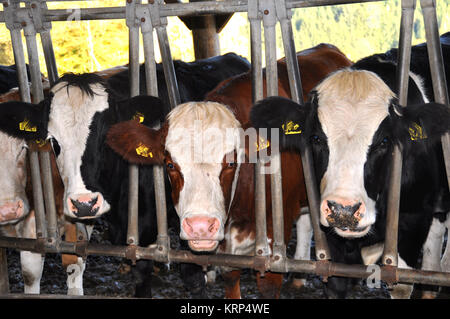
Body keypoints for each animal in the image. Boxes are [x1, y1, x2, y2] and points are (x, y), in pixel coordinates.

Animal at [106, 43, 356, 298]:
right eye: (169, 164)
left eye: (230, 163)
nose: (200, 227)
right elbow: (230, 277)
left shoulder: (276, 231)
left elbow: (269, 283)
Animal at [250, 56, 450, 298]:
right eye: (316, 138)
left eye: (384, 141)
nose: (343, 210)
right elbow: (336, 281)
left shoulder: (414, 219)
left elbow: (402, 284)